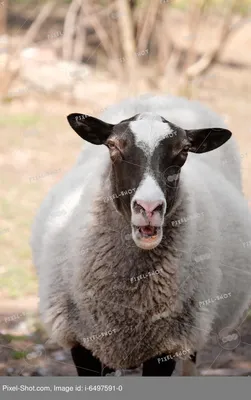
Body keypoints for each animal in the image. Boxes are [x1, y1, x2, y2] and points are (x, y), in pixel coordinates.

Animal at [30, 95, 251, 376]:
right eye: (112, 146)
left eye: (183, 151)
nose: (149, 207)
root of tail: (162, 96)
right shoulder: (82, 342)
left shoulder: (166, 347)